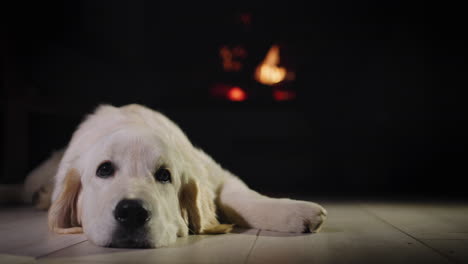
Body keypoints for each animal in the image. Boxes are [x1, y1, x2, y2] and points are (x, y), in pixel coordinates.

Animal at [22, 103, 328, 248]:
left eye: (164, 175)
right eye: (104, 169)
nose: (131, 212)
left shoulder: (213, 173)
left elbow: (242, 197)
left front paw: (294, 211)